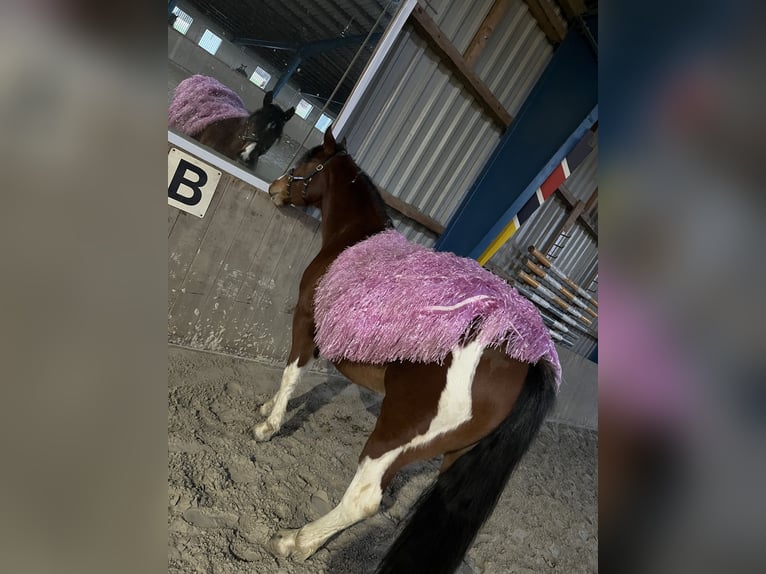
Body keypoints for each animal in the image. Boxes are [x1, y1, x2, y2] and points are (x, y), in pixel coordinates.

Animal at [260, 127, 564, 574]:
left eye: (306, 163)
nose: (275, 188)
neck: (354, 240)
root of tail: (527, 352)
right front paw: (268, 409)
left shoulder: (306, 321)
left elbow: (291, 371)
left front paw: (268, 424)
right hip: (455, 454)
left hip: (397, 434)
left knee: (365, 498)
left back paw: (296, 541)